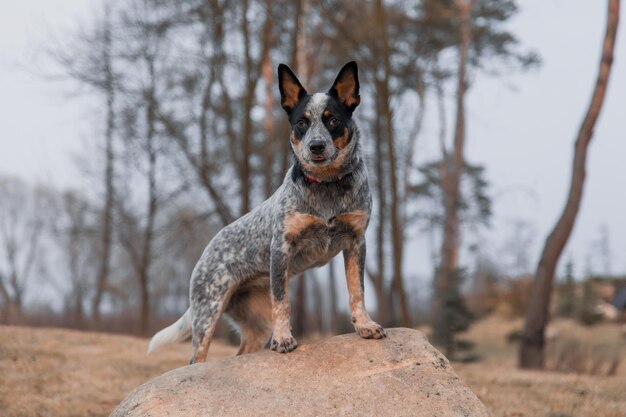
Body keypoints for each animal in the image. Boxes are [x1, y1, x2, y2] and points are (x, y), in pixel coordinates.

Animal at [150, 60, 386, 362]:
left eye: (332, 120)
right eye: (301, 123)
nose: (316, 146)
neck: (326, 186)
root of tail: (205, 253)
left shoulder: (356, 242)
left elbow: (357, 291)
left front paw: (365, 325)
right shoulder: (282, 247)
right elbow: (283, 302)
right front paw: (284, 338)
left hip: (255, 323)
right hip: (207, 314)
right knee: (196, 359)